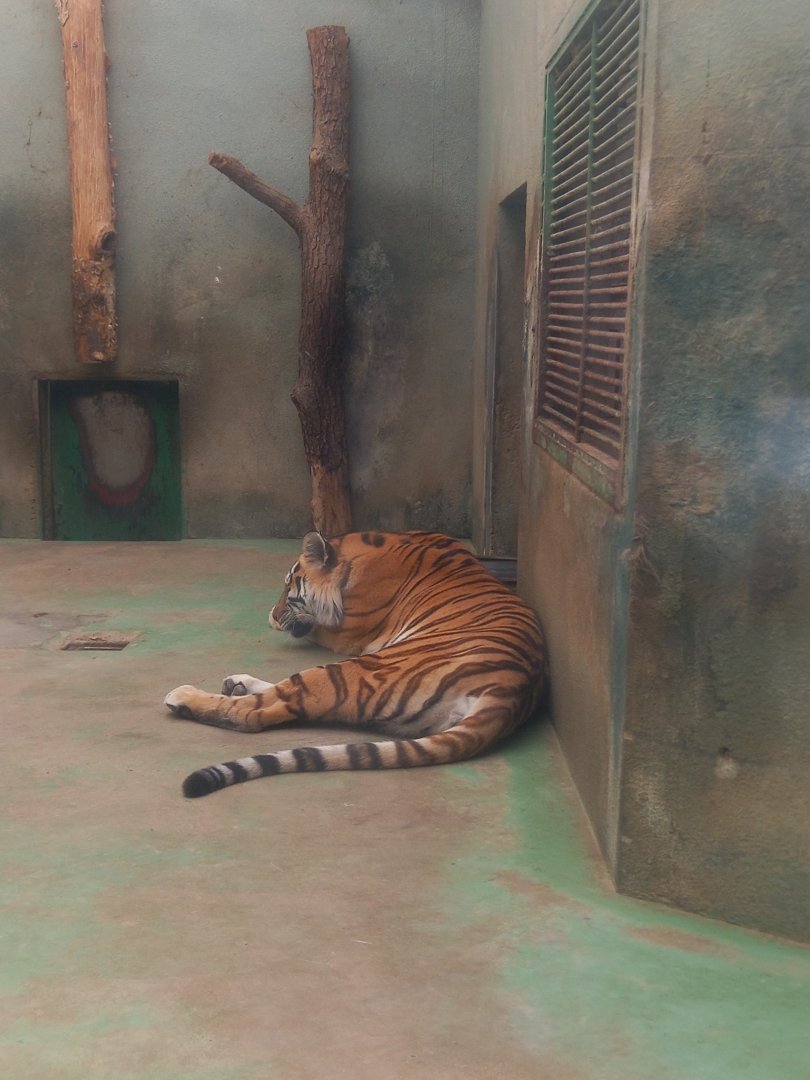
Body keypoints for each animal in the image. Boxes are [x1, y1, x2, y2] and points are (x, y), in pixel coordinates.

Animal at [164, 530, 547, 798]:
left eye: (289, 586)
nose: (271, 617)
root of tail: (511, 690)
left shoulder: (346, 634)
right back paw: (236, 683)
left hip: (357, 668)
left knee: (257, 711)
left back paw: (185, 695)